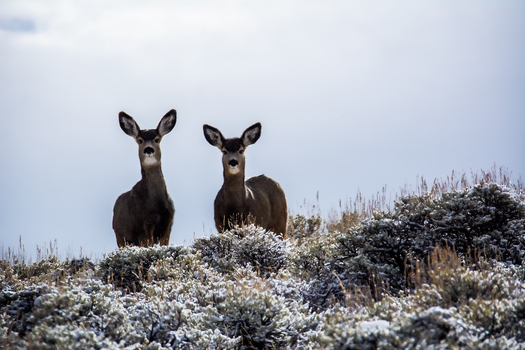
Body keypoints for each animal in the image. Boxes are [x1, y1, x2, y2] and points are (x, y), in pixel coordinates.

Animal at [111, 110, 177, 247]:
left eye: (157, 139)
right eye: (140, 140)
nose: (148, 149)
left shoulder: (168, 224)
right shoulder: (143, 227)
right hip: (121, 237)